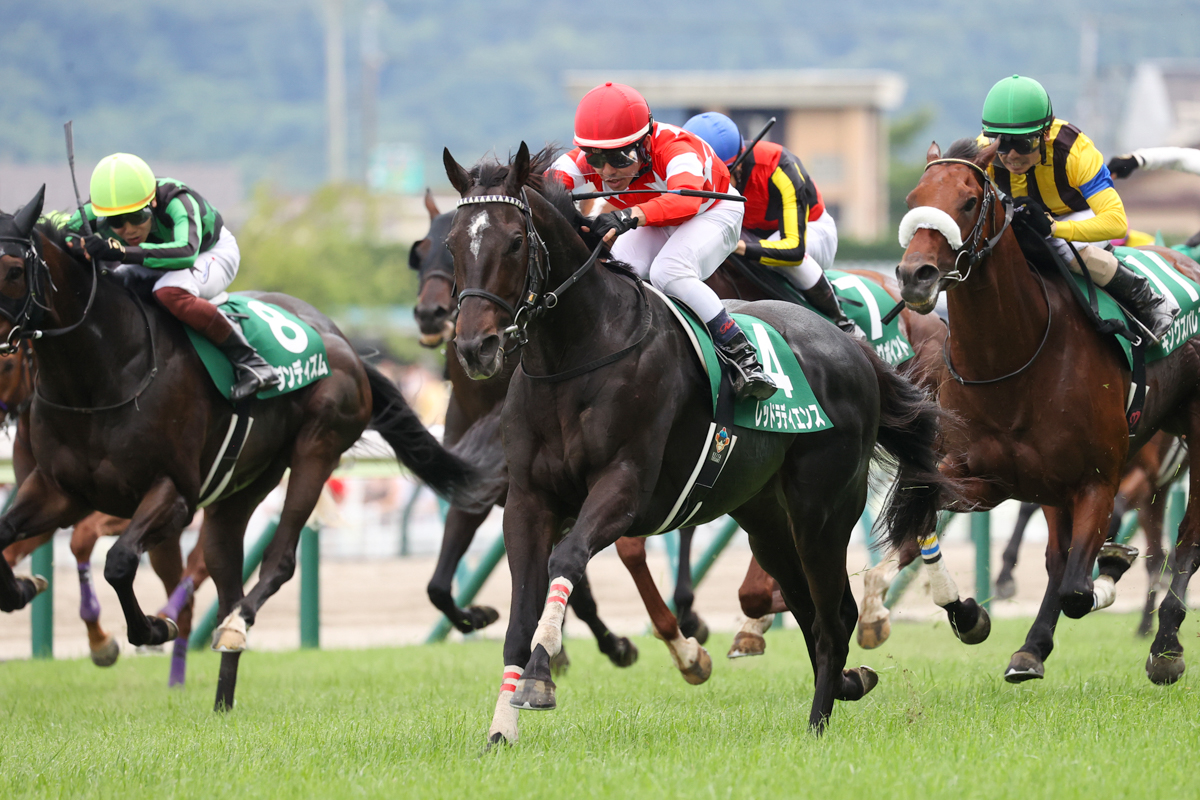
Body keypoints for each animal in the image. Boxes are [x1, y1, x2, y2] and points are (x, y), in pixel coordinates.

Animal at [0, 189, 489, 714]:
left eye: (13, 268)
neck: (100, 375)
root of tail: (342, 339)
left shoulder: (171, 495)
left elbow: (120, 562)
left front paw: (151, 628)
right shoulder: (59, 491)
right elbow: (8, 534)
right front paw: (22, 588)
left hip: (316, 449)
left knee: (278, 560)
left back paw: (234, 627)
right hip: (238, 490)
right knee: (224, 573)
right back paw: (222, 699)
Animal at [441, 142, 955, 743]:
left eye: (515, 241)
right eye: (453, 243)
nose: (475, 348)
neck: (574, 358)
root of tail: (852, 345)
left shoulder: (623, 489)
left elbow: (566, 560)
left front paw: (541, 677)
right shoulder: (528, 500)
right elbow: (520, 610)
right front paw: (502, 728)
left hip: (821, 512)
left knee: (835, 615)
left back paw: (819, 719)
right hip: (766, 519)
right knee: (809, 610)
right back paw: (848, 682)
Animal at [897, 137, 1200, 681]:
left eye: (968, 202)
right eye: (913, 200)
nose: (915, 276)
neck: (1013, 359)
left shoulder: (1100, 478)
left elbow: (1080, 590)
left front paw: (1113, 564)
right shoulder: (986, 475)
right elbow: (922, 511)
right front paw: (968, 614)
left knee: (1186, 539)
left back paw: (1165, 644)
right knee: (1062, 558)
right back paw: (1032, 647)